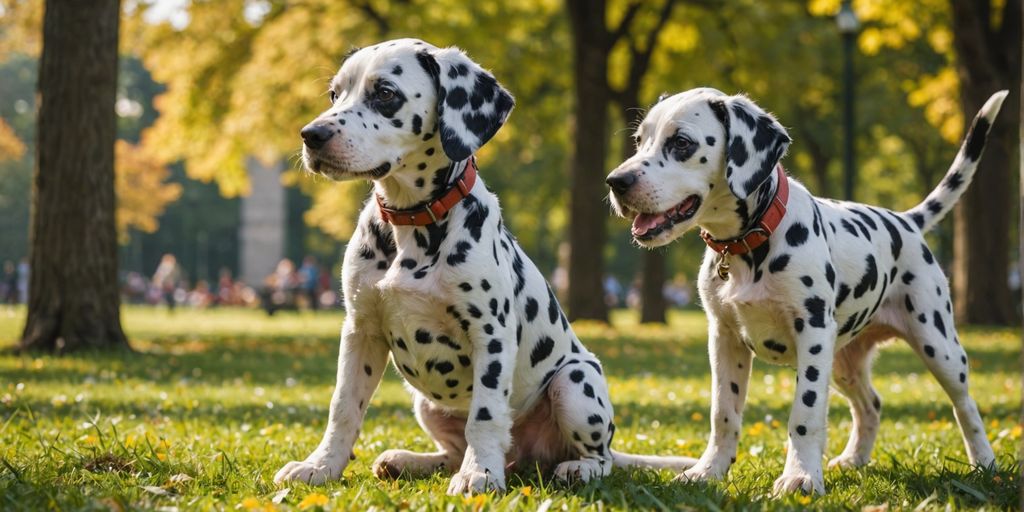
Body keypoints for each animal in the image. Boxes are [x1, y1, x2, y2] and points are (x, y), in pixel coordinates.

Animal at [272, 38, 696, 495]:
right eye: (335, 94)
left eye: (385, 93)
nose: (312, 135)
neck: (412, 222)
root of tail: (523, 458)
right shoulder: (359, 332)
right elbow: (343, 408)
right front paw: (320, 466)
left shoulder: (490, 334)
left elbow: (486, 415)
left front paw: (480, 474)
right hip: (426, 403)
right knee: (452, 452)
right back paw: (408, 461)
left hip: (575, 381)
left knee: (598, 458)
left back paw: (571, 468)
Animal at [606, 88, 1007, 495]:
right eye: (639, 140)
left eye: (682, 143)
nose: (616, 181)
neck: (751, 244)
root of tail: (905, 221)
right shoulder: (724, 339)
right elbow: (723, 413)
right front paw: (709, 470)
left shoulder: (812, 334)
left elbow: (805, 413)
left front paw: (800, 476)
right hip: (844, 363)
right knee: (871, 405)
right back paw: (855, 459)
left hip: (938, 345)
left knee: (965, 406)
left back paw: (984, 464)